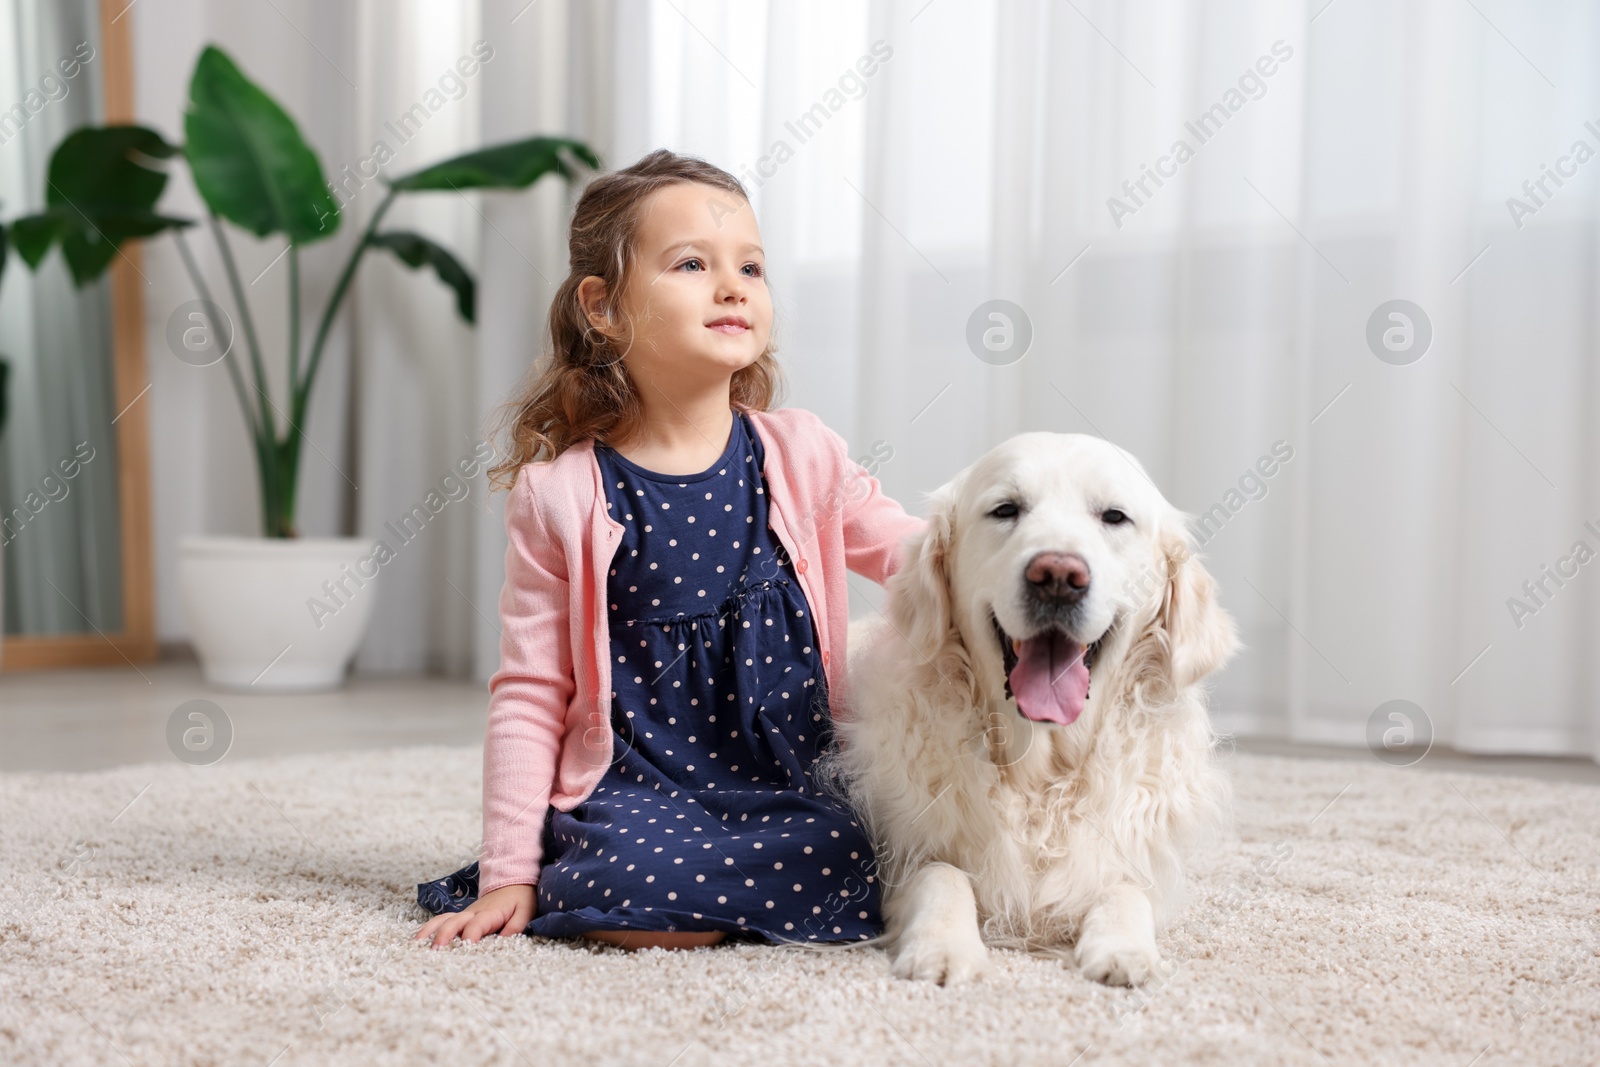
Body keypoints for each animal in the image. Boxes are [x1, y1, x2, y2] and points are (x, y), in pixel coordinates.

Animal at [819, 428, 1241, 991]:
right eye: (1005, 509)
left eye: (1114, 516)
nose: (1058, 575)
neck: (1039, 772)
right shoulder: (897, 859)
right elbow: (942, 875)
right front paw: (943, 947)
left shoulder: (1133, 857)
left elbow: (1125, 889)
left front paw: (1123, 949)